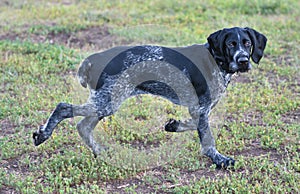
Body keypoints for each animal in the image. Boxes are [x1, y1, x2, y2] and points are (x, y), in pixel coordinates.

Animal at [32, 26, 268, 168]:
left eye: (247, 43)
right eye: (230, 44)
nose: (244, 61)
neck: (216, 60)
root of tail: (93, 58)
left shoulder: (199, 109)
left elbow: (192, 124)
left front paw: (174, 125)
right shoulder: (201, 108)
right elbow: (208, 140)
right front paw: (219, 159)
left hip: (106, 101)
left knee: (83, 126)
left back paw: (99, 151)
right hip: (107, 100)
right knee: (64, 107)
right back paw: (43, 135)